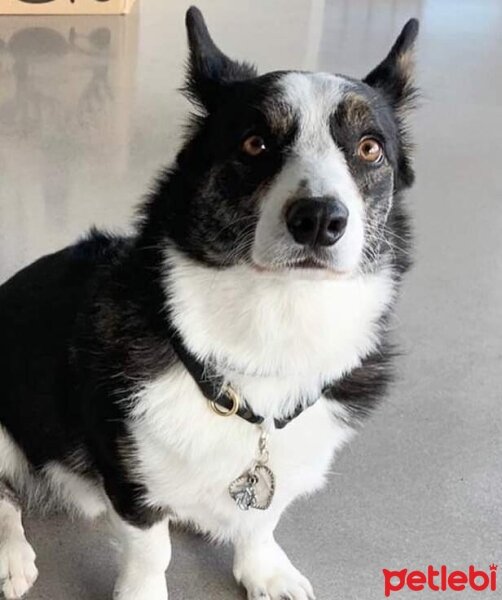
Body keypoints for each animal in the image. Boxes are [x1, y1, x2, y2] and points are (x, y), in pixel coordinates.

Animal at [0, 5, 418, 600]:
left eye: (369, 148)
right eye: (254, 144)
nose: (319, 219)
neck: (274, 325)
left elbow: (262, 520)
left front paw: (266, 570)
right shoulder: (132, 484)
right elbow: (153, 552)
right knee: (5, 496)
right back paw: (11, 555)